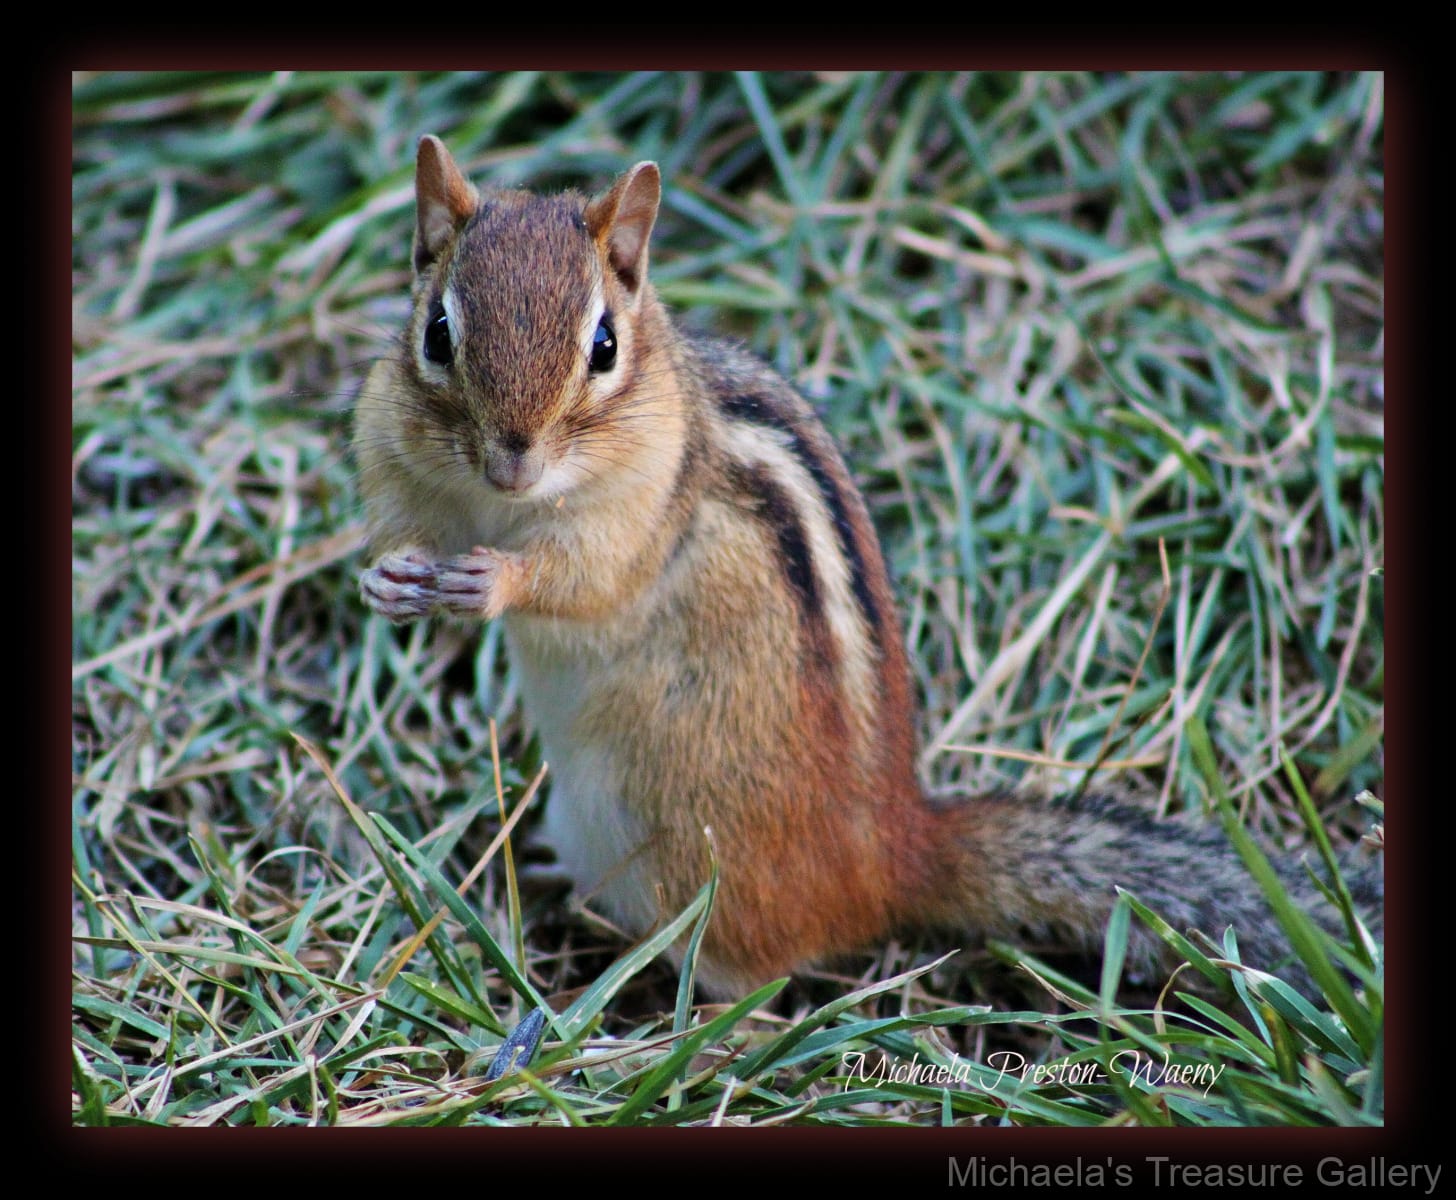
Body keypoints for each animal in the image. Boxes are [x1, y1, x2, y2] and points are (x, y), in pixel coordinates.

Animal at [352, 136, 1382, 1001]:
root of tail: (895, 851)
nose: (512, 461)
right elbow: (398, 527)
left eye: (604, 346)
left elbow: (586, 577)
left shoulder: (640, 508)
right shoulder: (399, 463)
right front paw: (385, 582)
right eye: (437, 335)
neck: (500, 508)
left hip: (689, 858)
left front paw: (494, 583)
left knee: (755, 988)